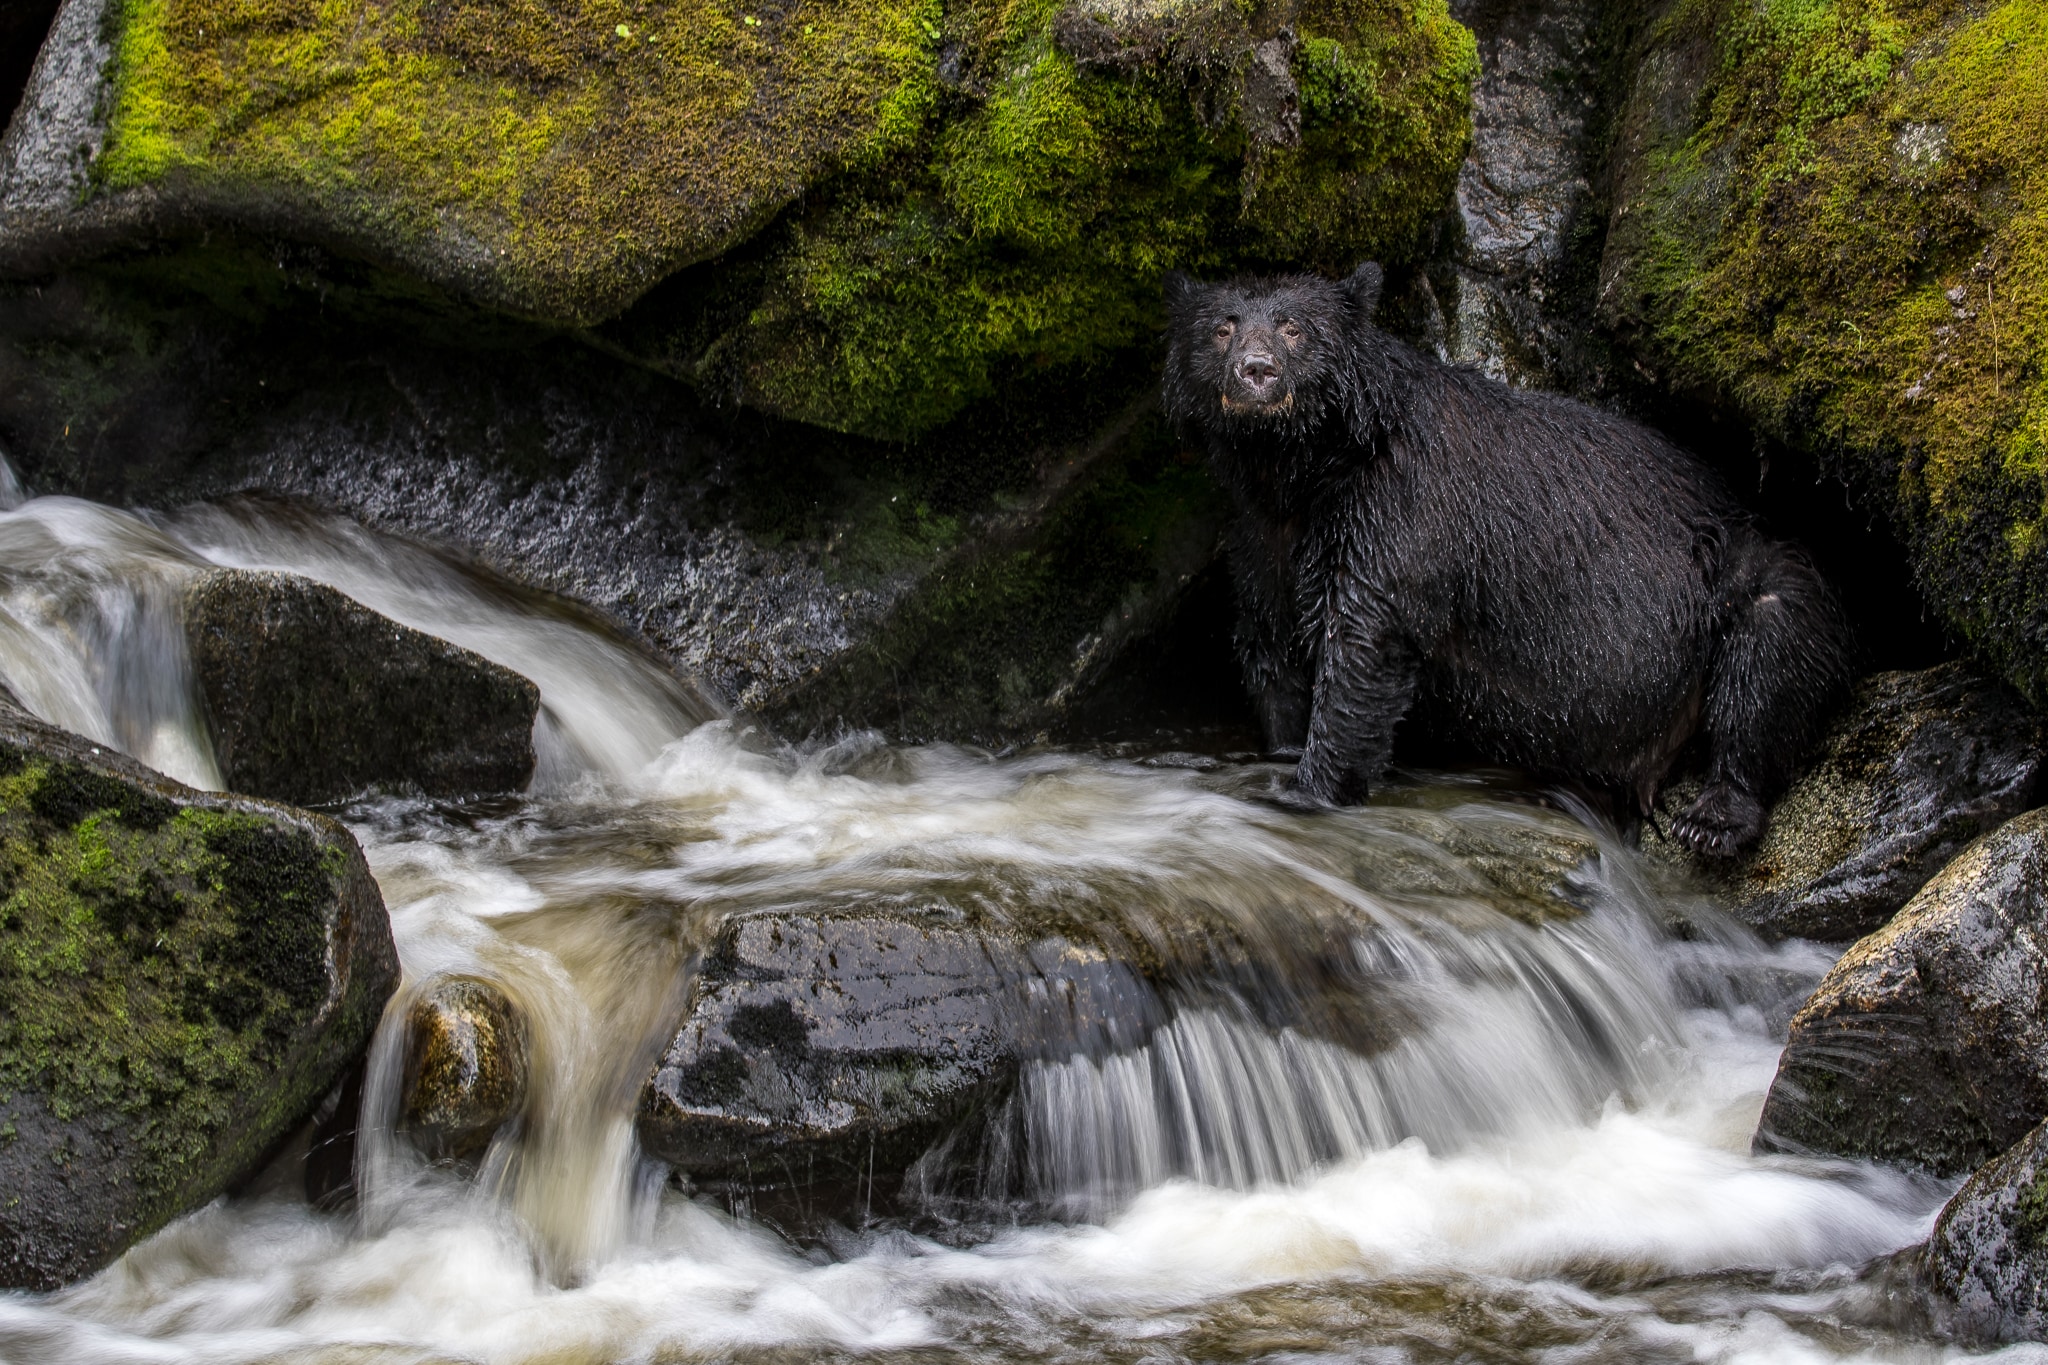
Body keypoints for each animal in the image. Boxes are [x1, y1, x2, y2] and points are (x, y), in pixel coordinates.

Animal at [1161, 262, 1852, 856]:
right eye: (1222, 327)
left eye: (1294, 327)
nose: (1256, 371)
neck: (1305, 469)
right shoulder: (1259, 537)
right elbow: (1271, 646)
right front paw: (1280, 753)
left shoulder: (1400, 511)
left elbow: (1362, 642)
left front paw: (1310, 789)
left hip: (1729, 575)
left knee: (1769, 647)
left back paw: (1715, 815)